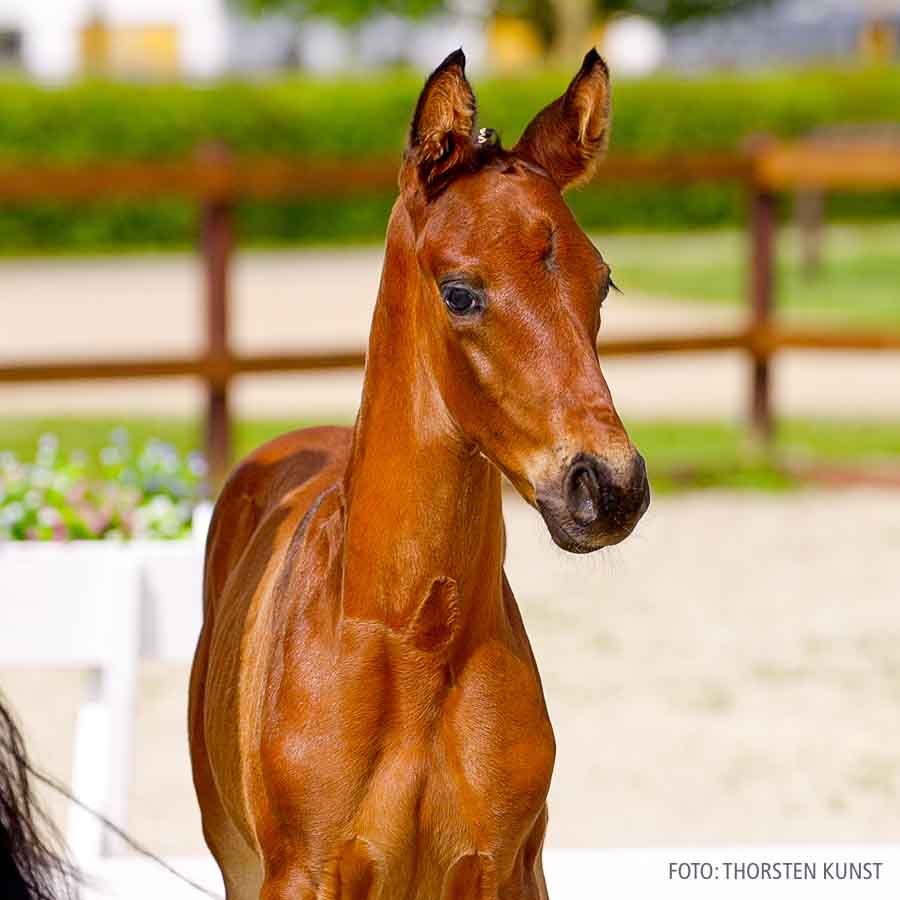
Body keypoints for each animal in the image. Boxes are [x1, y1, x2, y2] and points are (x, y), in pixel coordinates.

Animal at [189, 48, 650, 900]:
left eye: (600, 281)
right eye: (460, 292)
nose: (608, 487)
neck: (416, 643)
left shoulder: (509, 868)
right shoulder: (298, 874)